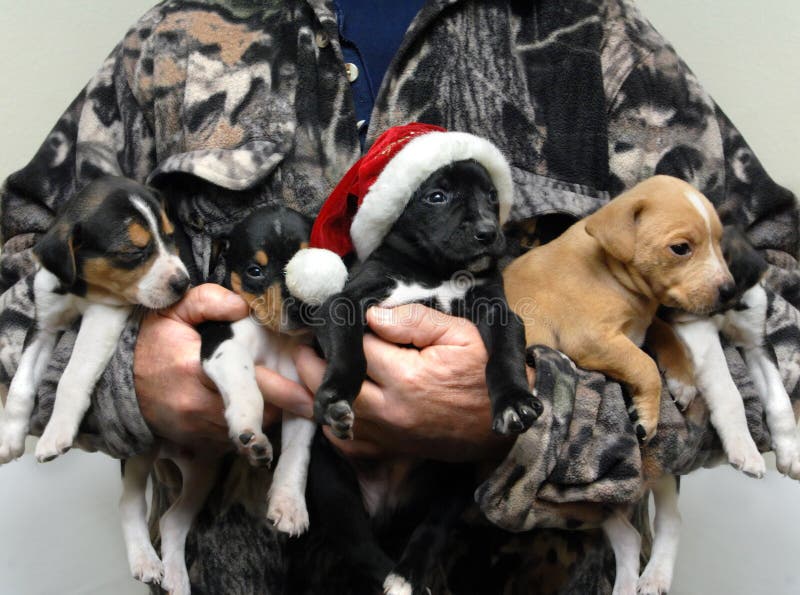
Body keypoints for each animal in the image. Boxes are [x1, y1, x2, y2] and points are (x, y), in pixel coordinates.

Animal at [0, 175, 189, 464]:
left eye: (170, 236)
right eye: (133, 252)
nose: (183, 283)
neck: (80, 290)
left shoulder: (103, 315)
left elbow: (72, 375)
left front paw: (56, 433)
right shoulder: (43, 325)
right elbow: (20, 384)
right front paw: (9, 437)